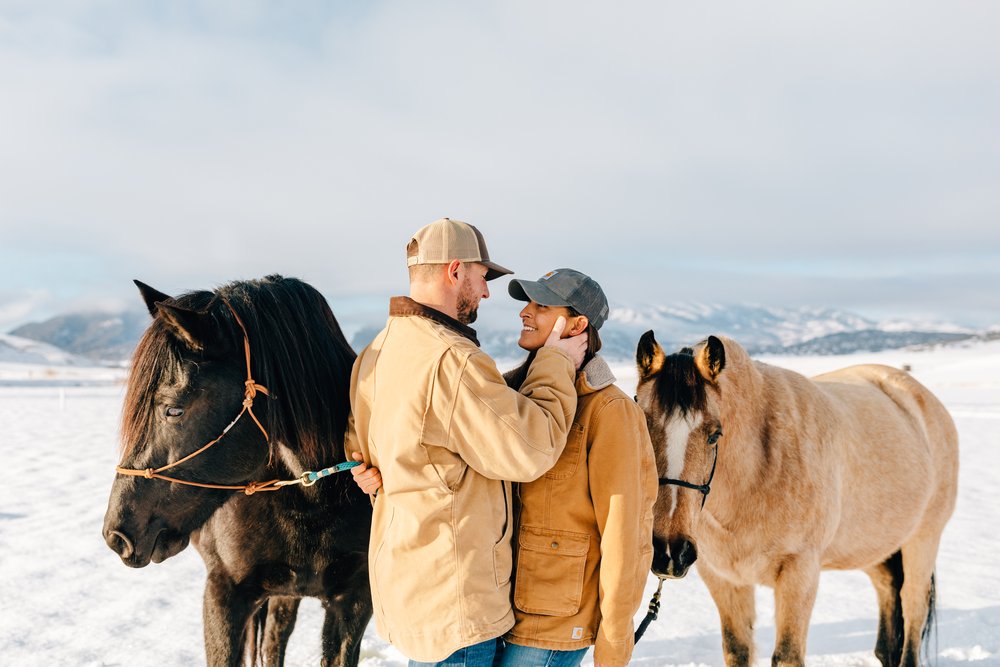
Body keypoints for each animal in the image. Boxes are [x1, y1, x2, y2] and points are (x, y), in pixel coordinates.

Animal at [636, 334, 956, 667]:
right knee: (888, 594)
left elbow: (787, 655)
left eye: (714, 435)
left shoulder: (800, 573)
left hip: (924, 539)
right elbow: (737, 649)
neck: (757, 473)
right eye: (642, 424)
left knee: (913, 605)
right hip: (873, 546)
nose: (669, 551)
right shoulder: (724, 578)